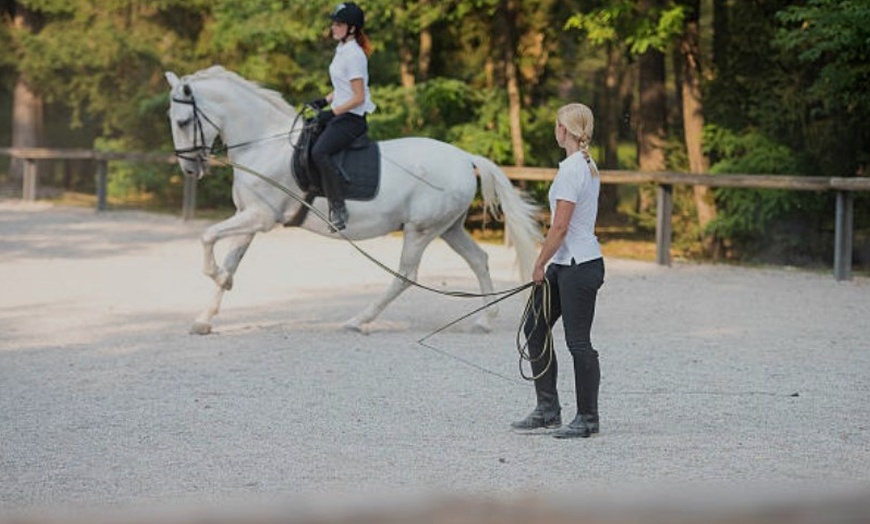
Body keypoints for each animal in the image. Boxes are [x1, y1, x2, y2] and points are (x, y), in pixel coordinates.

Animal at [166, 66, 540, 336]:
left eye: (183, 122)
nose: (189, 168)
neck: (263, 143)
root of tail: (465, 158)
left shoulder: (261, 217)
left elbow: (206, 237)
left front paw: (216, 278)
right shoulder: (249, 217)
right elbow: (231, 260)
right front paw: (205, 316)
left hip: (420, 230)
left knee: (405, 275)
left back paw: (359, 321)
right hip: (449, 228)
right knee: (478, 259)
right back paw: (485, 319)